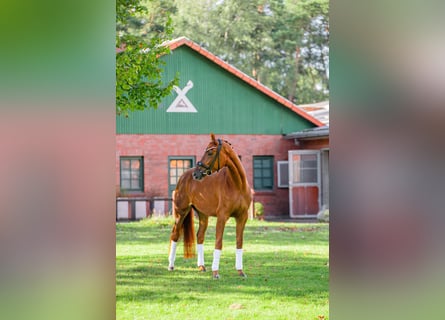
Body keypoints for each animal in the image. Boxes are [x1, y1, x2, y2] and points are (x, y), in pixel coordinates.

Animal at [167, 132, 251, 278]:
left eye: (210, 152)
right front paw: (215, 272)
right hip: (181, 213)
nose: (196, 173)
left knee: (200, 236)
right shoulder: (222, 217)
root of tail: (183, 176)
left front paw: (240, 271)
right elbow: (218, 242)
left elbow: (239, 242)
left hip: (203, 215)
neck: (237, 185)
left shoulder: (242, 217)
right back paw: (171, 266)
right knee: (175, 235)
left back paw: (201, 266)